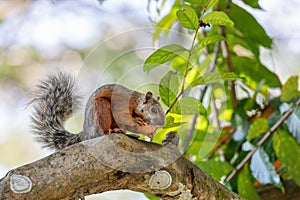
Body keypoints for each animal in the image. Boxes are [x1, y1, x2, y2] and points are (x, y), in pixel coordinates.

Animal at [30, 72, 165, 150]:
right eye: (153, 109)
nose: (162, 123)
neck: (136, 102)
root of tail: (85, 133)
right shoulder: (123, 103)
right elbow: (122, 117)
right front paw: (142, 125)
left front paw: (150, 131)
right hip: (100, 108)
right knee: (103, 132)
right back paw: (112, 131)